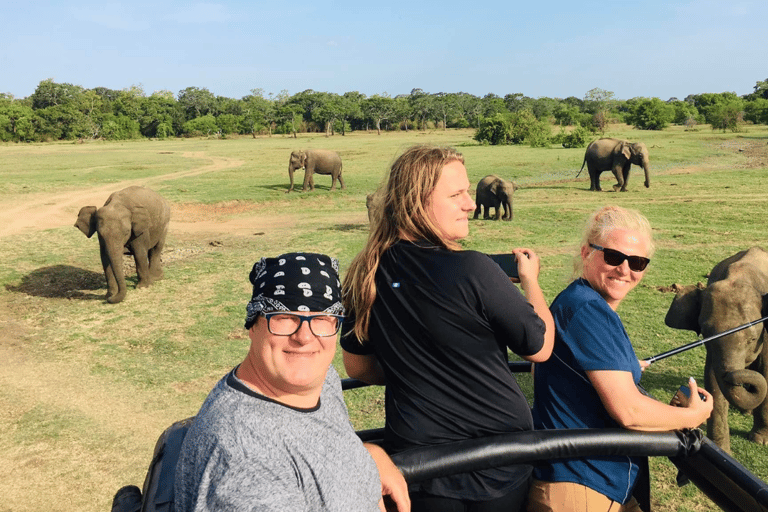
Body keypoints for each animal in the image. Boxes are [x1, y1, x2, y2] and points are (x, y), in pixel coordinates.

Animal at [660, 247, 768, 452]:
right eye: (706, 335)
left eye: (752, 339)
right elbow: (713, 379)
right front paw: (722, 450)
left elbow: (767, 370)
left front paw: (760, 440)